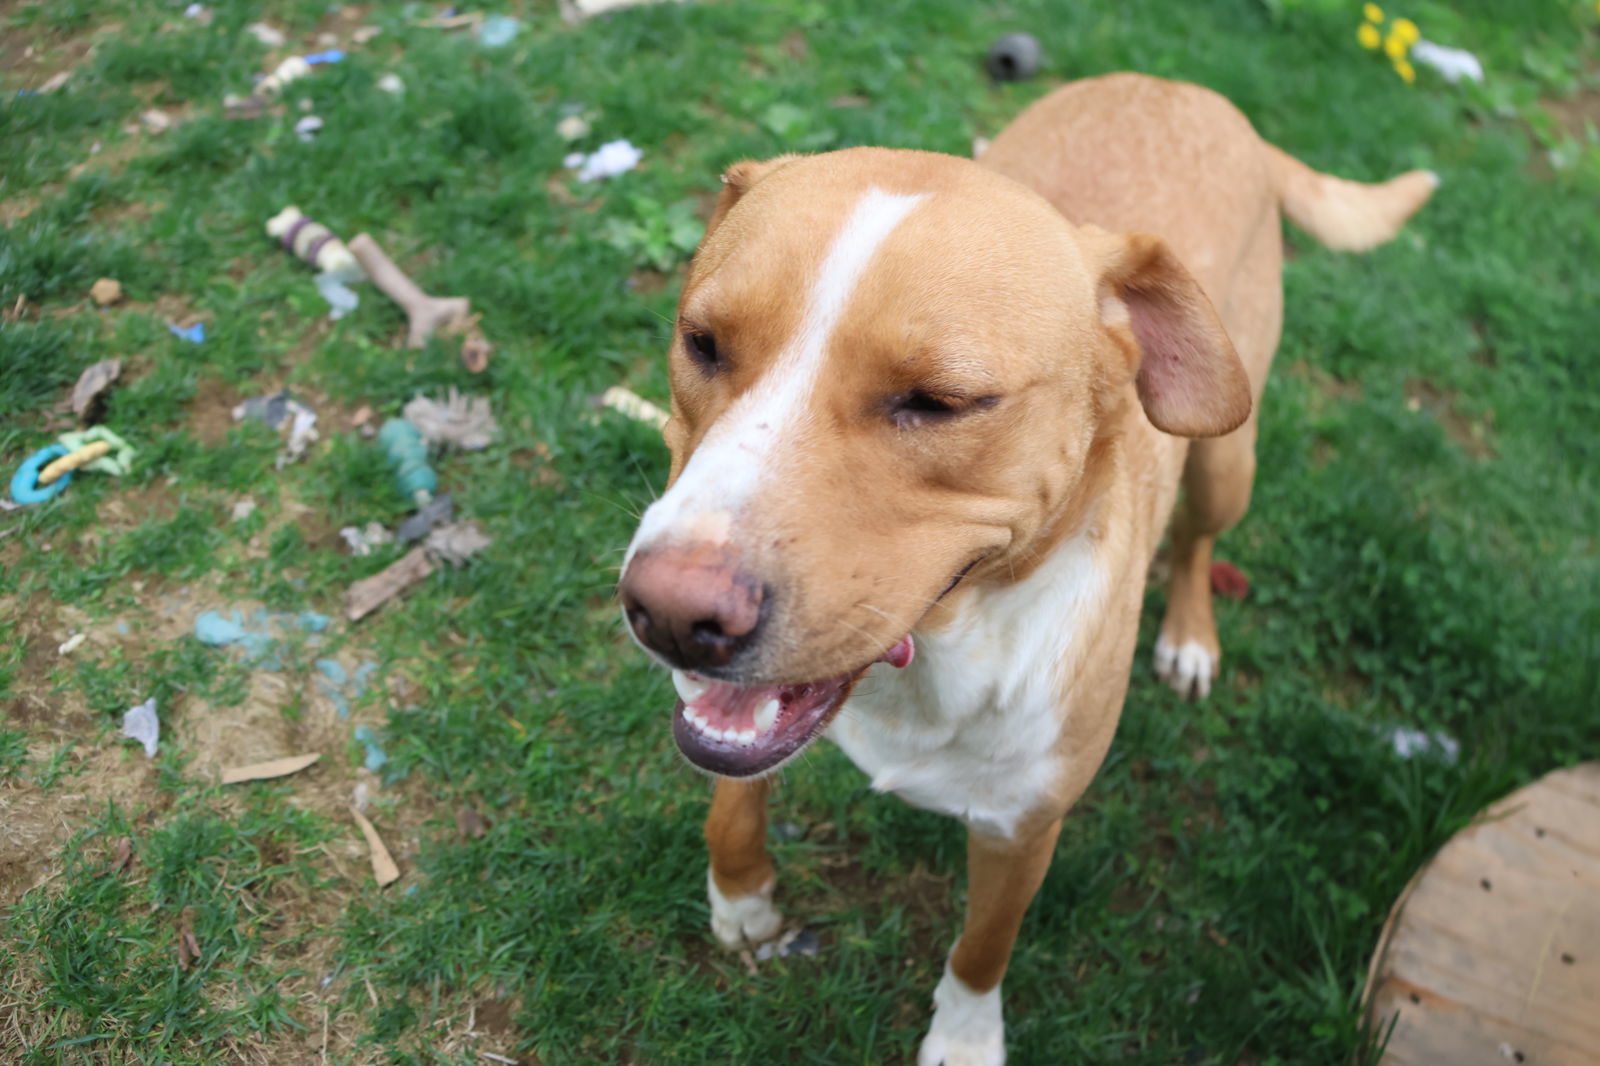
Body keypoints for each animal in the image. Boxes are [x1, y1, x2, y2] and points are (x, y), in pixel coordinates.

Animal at [614, 74, 1440, 1062]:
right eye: (702, 343)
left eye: (939, 402)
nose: (668, 614)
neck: (940, 656)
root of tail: (1187, 88)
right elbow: (733, 792)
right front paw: (741, 898)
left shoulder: (1022, 829)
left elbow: (982, 948)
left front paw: (966, 1038)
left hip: (1225, 457)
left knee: (1198, 542)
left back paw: (1190, 636)